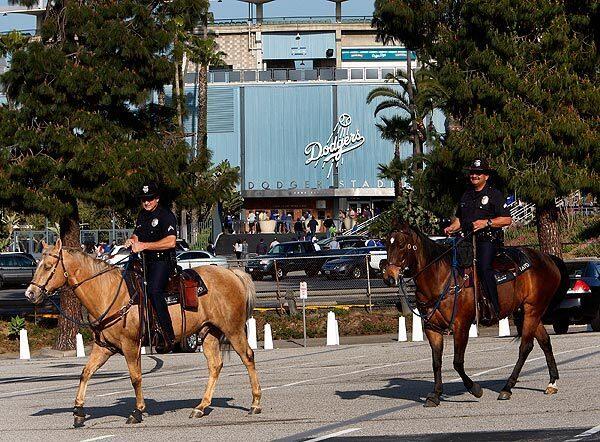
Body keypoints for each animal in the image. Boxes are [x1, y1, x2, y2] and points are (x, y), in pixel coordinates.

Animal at [25, 240, 260, 426]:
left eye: (48, 266)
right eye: (36, 265)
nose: (30, 293)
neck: (108, 292)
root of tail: (232, 272)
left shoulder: (131, 345)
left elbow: (135, 377)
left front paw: (137, 411)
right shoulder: (104, 348)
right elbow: (86, 373)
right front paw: (79, 412)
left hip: (233, 330)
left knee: (248, 357)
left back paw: (255, 403)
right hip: (209, 332)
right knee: (215, 365)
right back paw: (200, 407)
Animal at [382, 221, 568, 408]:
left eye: (401, 245)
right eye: (386, 244)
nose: (389, 277)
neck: (440, 278)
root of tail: (547, 258)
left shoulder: (461, 326)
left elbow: (457, 362)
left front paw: (475, 389)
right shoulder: (431, 328)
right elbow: (436, 362)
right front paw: (435, 394)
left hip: (532, 310)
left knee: (525, 347)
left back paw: (507, 388)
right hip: (527, 312)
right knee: (545, 342)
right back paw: (552, 383)